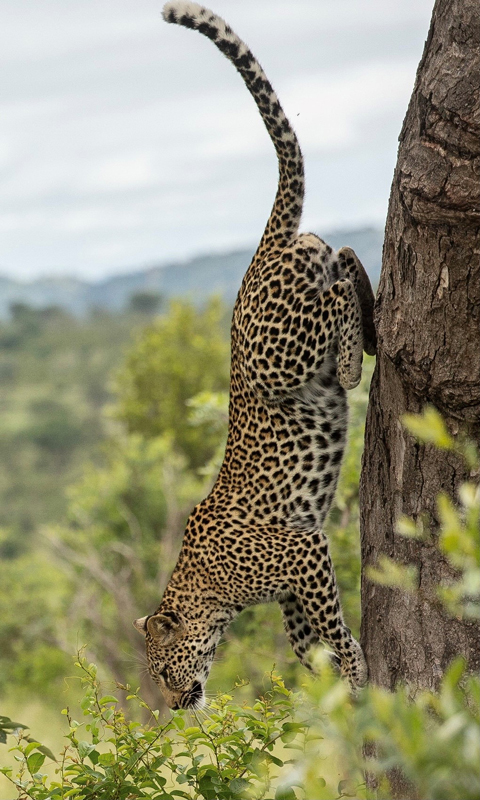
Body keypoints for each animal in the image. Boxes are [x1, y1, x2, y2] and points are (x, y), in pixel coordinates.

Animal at [133, 0, 376, 712]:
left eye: (161, 670)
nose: (172, 706)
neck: (207, 592)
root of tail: (258, 254)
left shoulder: (303, 550)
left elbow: (328, 623)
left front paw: (353, 665)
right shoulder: (292, 583)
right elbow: (304, 639)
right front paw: (335, 684)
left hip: (278, 352)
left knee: (340, 276)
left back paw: (352, 350)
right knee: (336, 254)